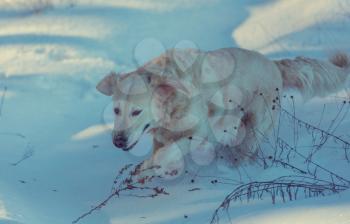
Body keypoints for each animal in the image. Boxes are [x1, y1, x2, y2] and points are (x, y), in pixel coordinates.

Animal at [97, 47, 348, 177]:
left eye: (137, 112)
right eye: (116, 110)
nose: (118, 141)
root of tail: (274, 65)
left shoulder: (199, 132)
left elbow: (167, 153)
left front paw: (150, 167)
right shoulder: (162, 135)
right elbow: (163, 152)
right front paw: (158, 170)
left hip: (255, 125)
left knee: (246, 151)